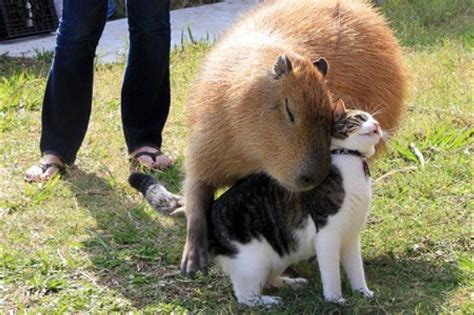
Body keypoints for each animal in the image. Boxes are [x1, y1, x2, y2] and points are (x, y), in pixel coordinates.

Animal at [129, 100, 382, 308]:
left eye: (372, 118)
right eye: (361, 118)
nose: (377, 124)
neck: (351, 162)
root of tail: (206, 214)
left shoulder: (350, 236)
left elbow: (356, 269)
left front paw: (363, 292)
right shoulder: (328, 235)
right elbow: (331, 274)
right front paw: (335, 299)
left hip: (279, 255)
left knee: (270, 277)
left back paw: (291, 283)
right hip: (253, 262)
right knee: (245, 296)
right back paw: (269, 301)